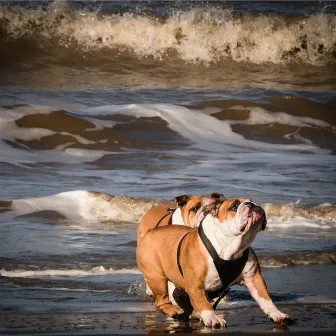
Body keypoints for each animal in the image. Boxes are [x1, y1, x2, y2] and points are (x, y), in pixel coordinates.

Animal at [135, 197, 290, 328]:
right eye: (234, 206)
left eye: (252, 201)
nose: (252, 205)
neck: (231, 246)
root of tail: (149, 233)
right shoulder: (195, 285)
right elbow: (203, 303)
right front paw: (213, 318)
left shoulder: (254, 278)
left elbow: (265, 299)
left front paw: (277, 314)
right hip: (157, 277)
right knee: (161, 302)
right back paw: (175, 311)